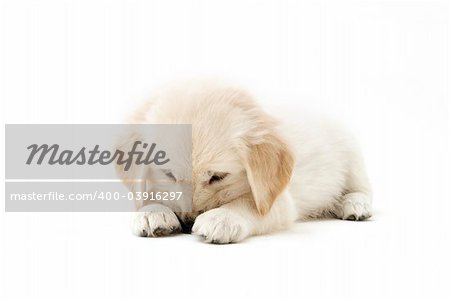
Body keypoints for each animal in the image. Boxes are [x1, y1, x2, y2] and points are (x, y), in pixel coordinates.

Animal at [117, 79, 372, 244]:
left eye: (218, 177)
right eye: (168, 174)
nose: (187, 224)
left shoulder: (277, 201)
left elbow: (247, 203)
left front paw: (221, 218)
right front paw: (152, 213)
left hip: (354, 158)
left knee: (362, 190)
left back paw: (355, 205)